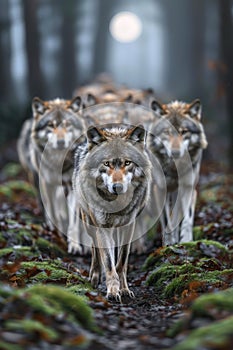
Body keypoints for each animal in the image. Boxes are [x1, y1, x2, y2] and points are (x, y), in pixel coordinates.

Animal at [17, 95, 84, 232]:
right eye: (50, 125)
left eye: (67, 124)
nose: (61, 142)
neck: (58, 161)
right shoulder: (47, 184)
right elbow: (52, 210)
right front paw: (54, 229)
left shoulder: (70, 184)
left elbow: (73, 218)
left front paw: (72, 236)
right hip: (36, 179)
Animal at [147, 99, 208, 246]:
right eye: (167, 132)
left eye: (184, 132)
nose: (175, 152)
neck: (174, 170)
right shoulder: (160, 190)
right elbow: (166, 220)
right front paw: (168, 243)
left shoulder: (188, 187)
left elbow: (187, 218)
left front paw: (186, 241)